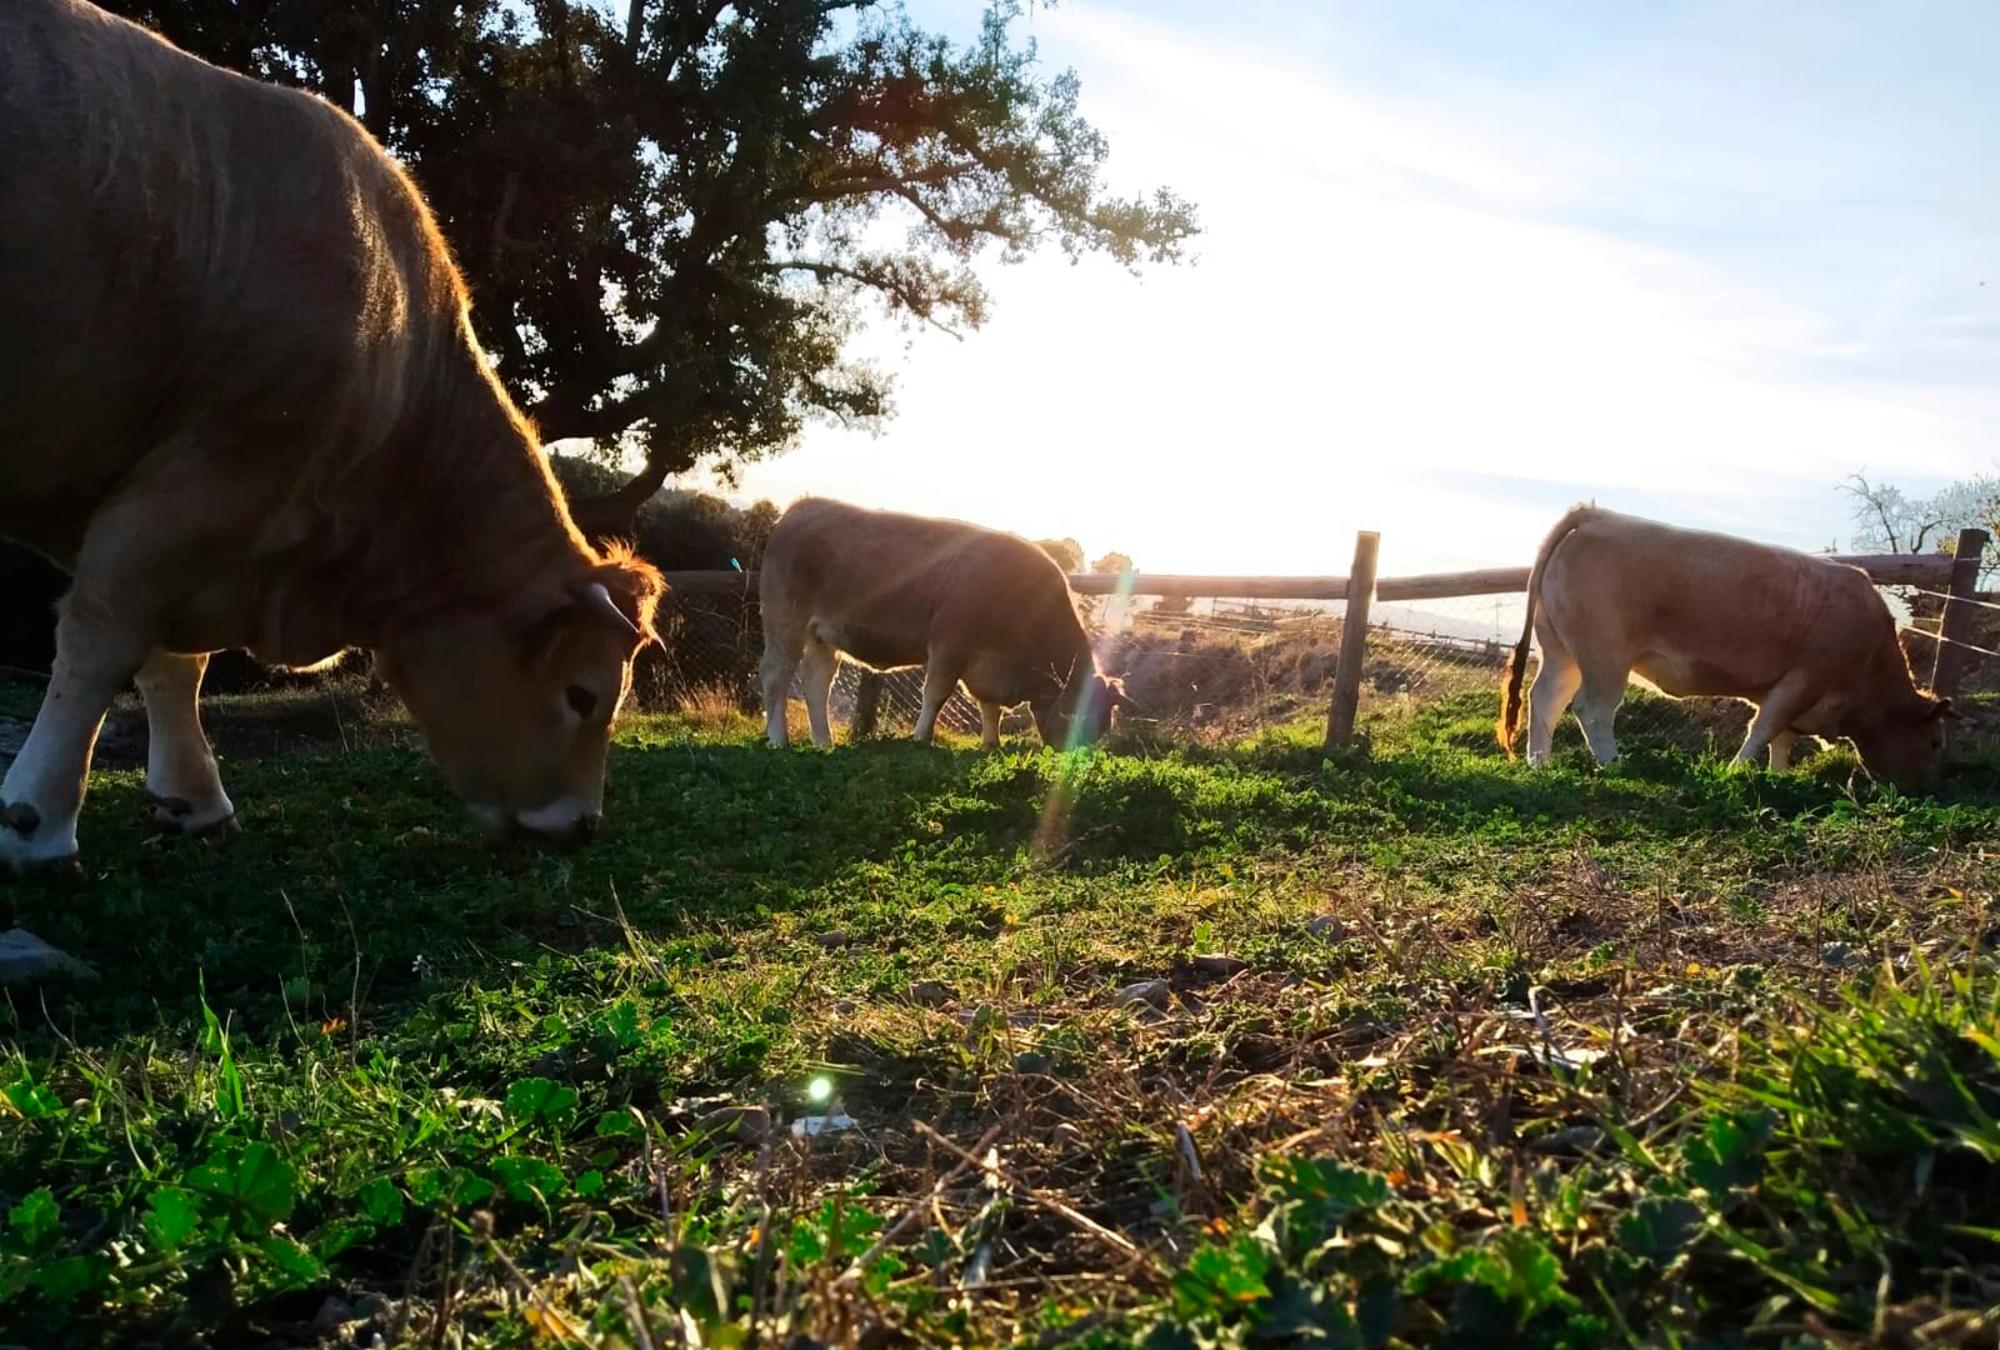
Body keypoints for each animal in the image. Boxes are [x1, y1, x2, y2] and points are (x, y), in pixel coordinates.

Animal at [0, 0, 666, 873]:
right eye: (583, 694)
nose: (583, 824)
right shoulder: (203, 484)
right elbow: (103, 645)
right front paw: (38, 819)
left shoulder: (195, 523)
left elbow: (171, 661)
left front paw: (192, 798)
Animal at [758, 499, 1131, 749]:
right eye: (1079, 717)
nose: (1075, 756)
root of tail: (804, 506)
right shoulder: (949, 645)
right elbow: (936, 694)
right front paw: (921, 737)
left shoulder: (988, 667)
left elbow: (990, 708)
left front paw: (991, 745)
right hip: (784, 623)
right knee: (776, 676)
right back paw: (778, 739)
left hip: (823, 636)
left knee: (816, 683)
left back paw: (824, 741)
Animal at [1496, 507, 1951, 789]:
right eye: (1934, 742)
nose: (1926, 787)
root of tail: (1598, 514)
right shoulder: (1802, 679)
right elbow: (1764, 728)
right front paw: (1737, 771)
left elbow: (1782, 738)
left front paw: (1777, 776)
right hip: (1605, 657)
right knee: (1592, 709)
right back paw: (1614, 764)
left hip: (1562, 653)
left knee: (1546, 700)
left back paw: (1540, 762)